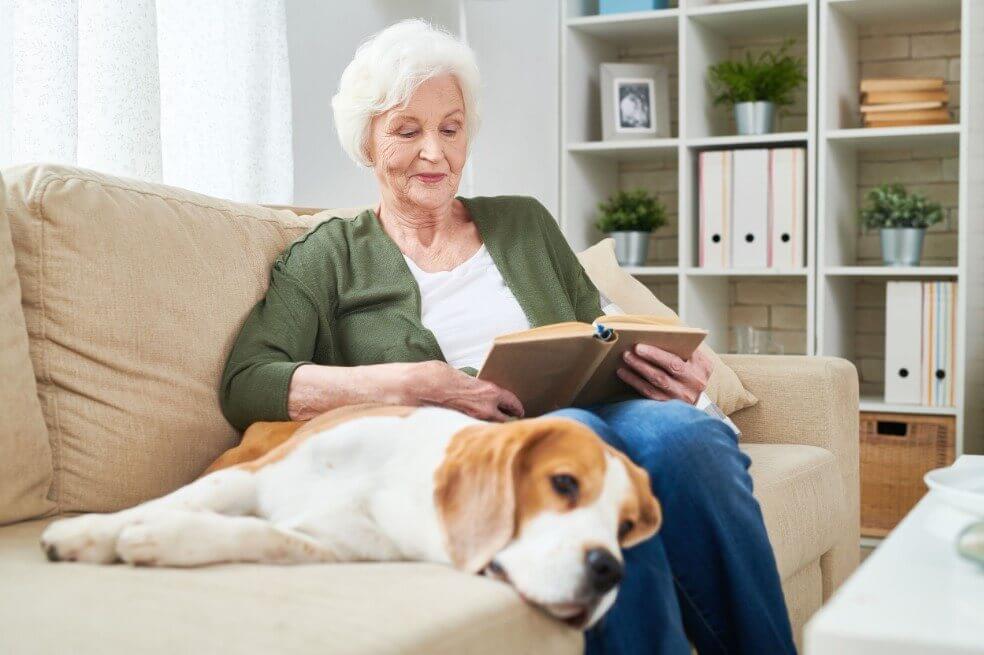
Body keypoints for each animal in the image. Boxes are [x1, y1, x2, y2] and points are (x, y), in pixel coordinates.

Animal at [40, 402, 660, 628]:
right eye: (563, 483)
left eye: (625, 528)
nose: (610, 571)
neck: (399, 489)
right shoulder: (250, 479)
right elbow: (165, 503)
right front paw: (90, 531)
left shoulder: (329, 545)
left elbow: (256, 535)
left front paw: (164, 538)